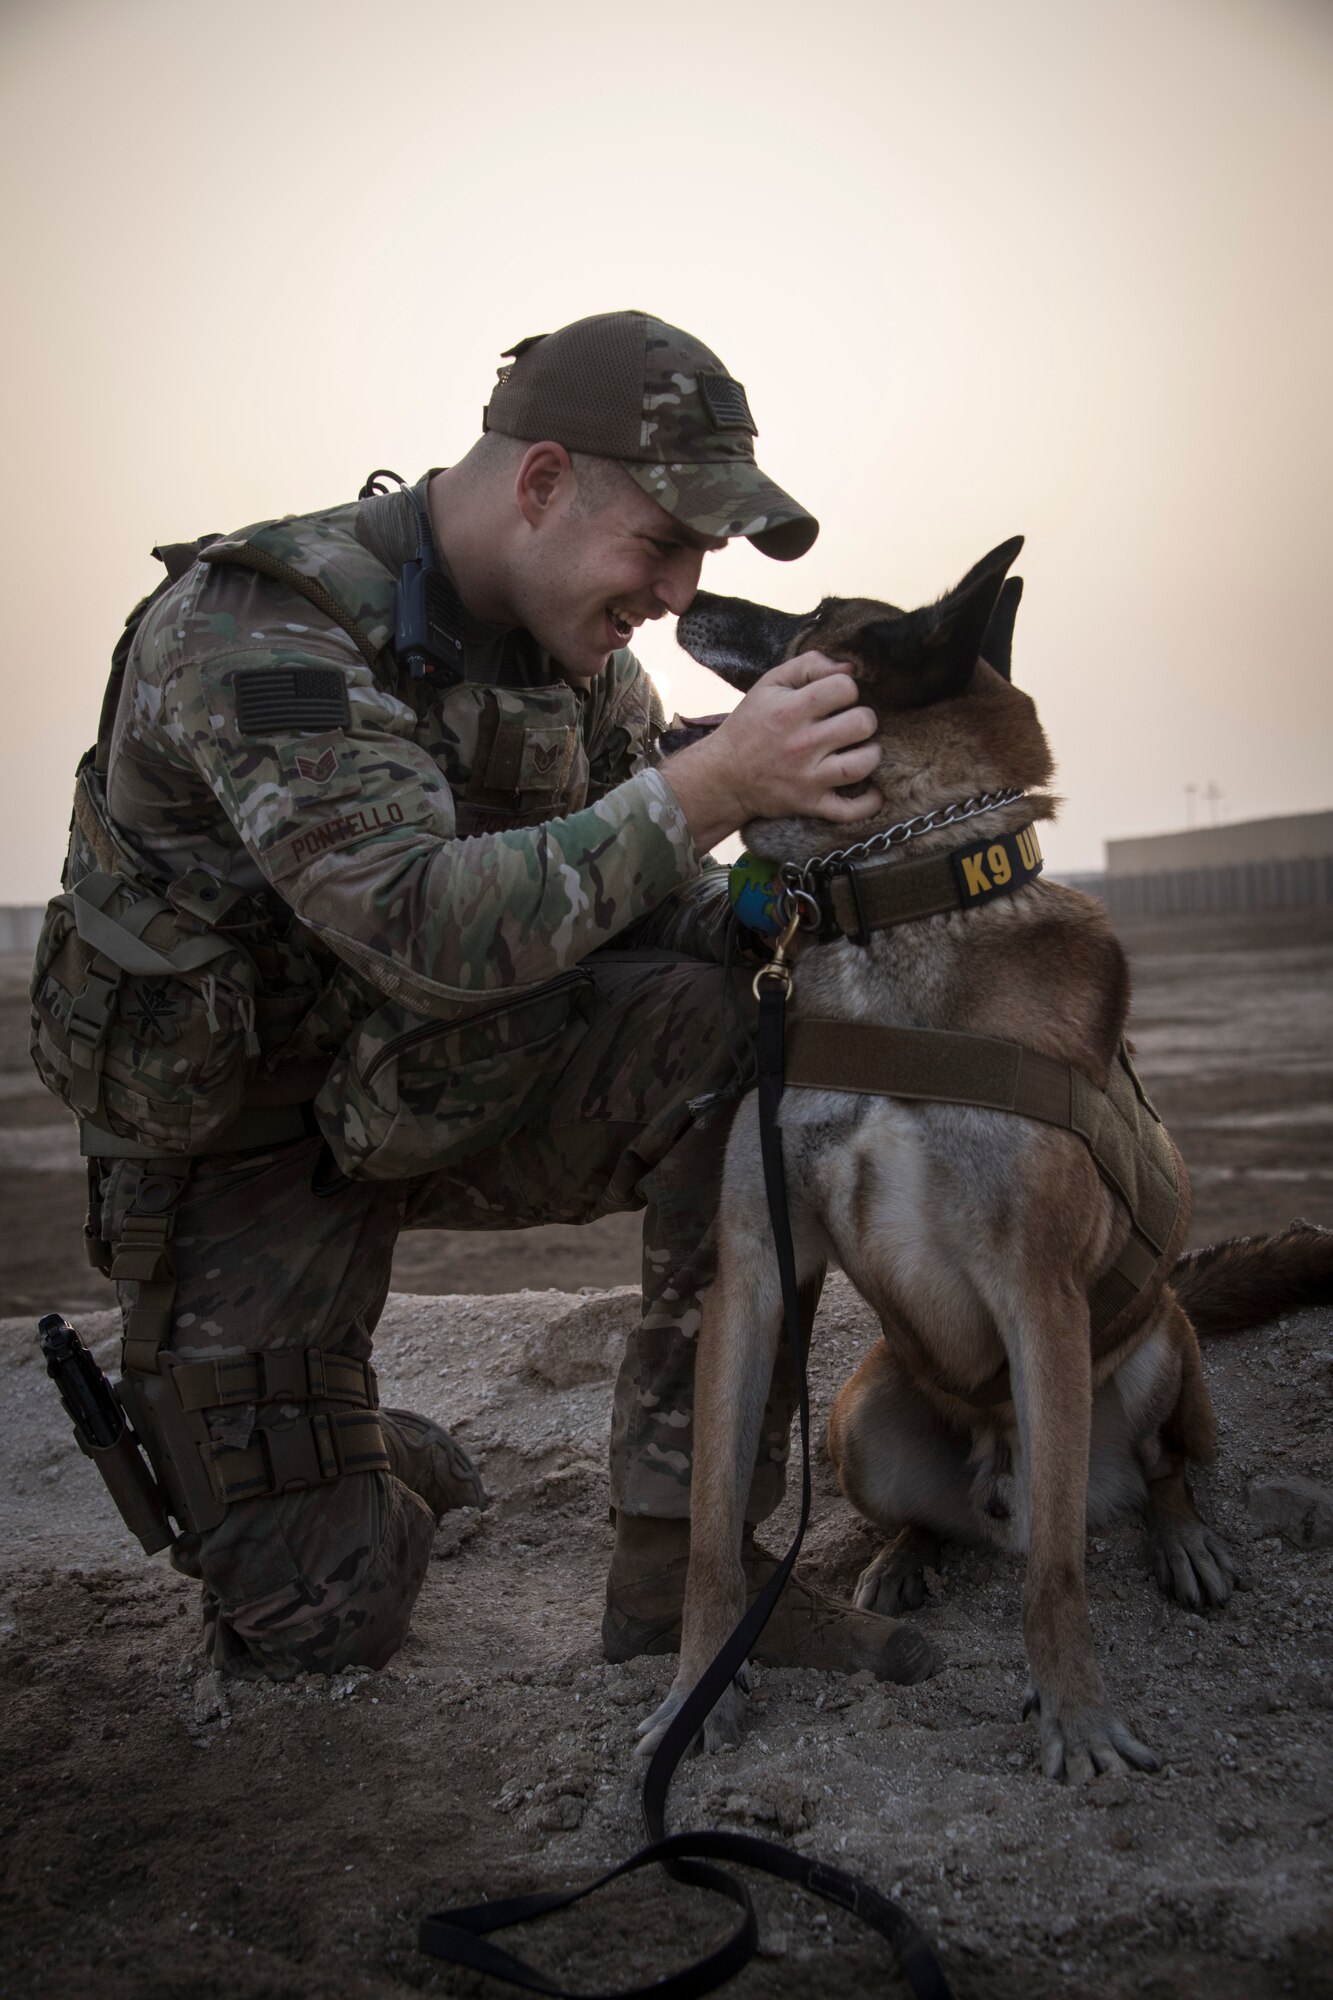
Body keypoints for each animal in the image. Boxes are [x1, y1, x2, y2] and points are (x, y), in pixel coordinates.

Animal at [636, 544, 1328, 1784]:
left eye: (818, 614)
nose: (689, 592)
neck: (887, 913)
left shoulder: (1038, 1294)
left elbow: (1056, 1572)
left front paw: (1077, 1714)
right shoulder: (755, 1273)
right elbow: (711, 1525)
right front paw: (693, 1691)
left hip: (1160, 1351)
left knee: (1149, 1476)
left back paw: (1181, 1538)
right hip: (861, 1416)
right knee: (941, 1513)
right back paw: (902, 1555)